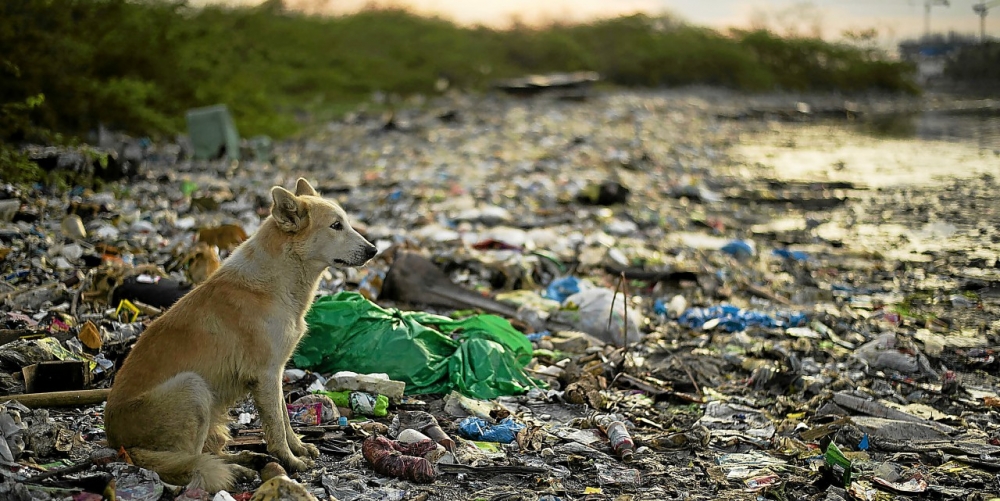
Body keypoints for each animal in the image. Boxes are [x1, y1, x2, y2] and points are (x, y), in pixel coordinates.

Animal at [104, 178, 378, 490]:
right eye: (336, 226)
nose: (373, 251)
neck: (278, 278)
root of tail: (117, 443)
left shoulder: (275, 374)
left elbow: (284, 419)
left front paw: (297, 448)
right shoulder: (266, 375)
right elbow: (276, 428)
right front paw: (291, 462)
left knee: (208, 454)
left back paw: (246, 460)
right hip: (193, 388)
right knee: (187, 463)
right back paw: (236, 470)